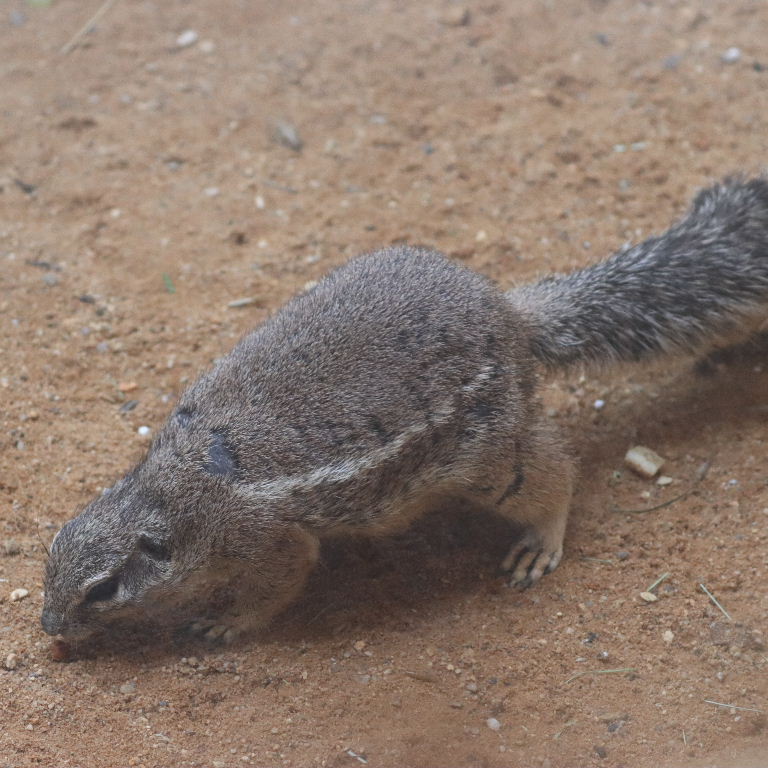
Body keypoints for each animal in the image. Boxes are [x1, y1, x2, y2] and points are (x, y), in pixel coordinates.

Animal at [41, 176, 768, 644]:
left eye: (102, 589)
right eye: (46, 560)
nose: (50, 628)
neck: (177, 490)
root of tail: (511, 314)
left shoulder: (269, 542)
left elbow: (279, 582)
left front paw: (225, 622)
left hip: (491, 457)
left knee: (554, 474)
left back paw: (541, 540)